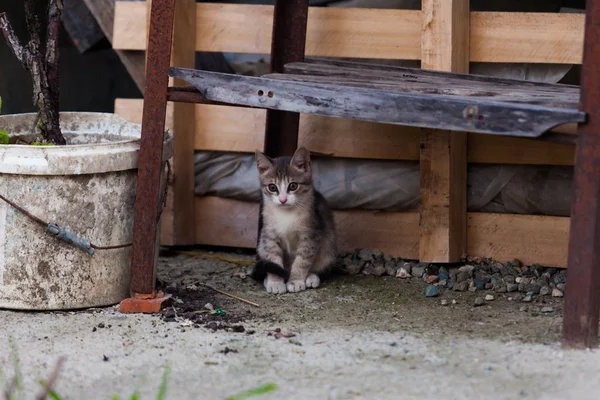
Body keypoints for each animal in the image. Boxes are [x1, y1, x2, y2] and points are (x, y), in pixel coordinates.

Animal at [251, 147, 338, 294]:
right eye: (272, 187)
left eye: (293, 186)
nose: (283, 200)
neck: (286, 214)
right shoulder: (269, 236)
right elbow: (273, 257)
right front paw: (275, 282)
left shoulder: (311, 235)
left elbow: (302, 260)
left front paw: (296, 280)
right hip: (261, 244)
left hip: (328, 245)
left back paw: (312, 277)